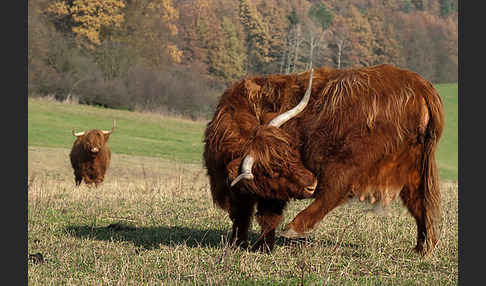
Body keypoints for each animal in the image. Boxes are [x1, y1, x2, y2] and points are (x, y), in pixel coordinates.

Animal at [202, 63, 444, 256]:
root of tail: (419, 85)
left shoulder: (266, 195)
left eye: (291, 152)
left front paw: (258, 246)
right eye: (272, 172)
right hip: (413, 167)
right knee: (419, 203)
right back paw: (424, 248)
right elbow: (246, 217)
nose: (311, 184)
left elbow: (264, 216)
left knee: (334, 191)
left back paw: (295, 227)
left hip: (347, 158)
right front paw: (245, 244)